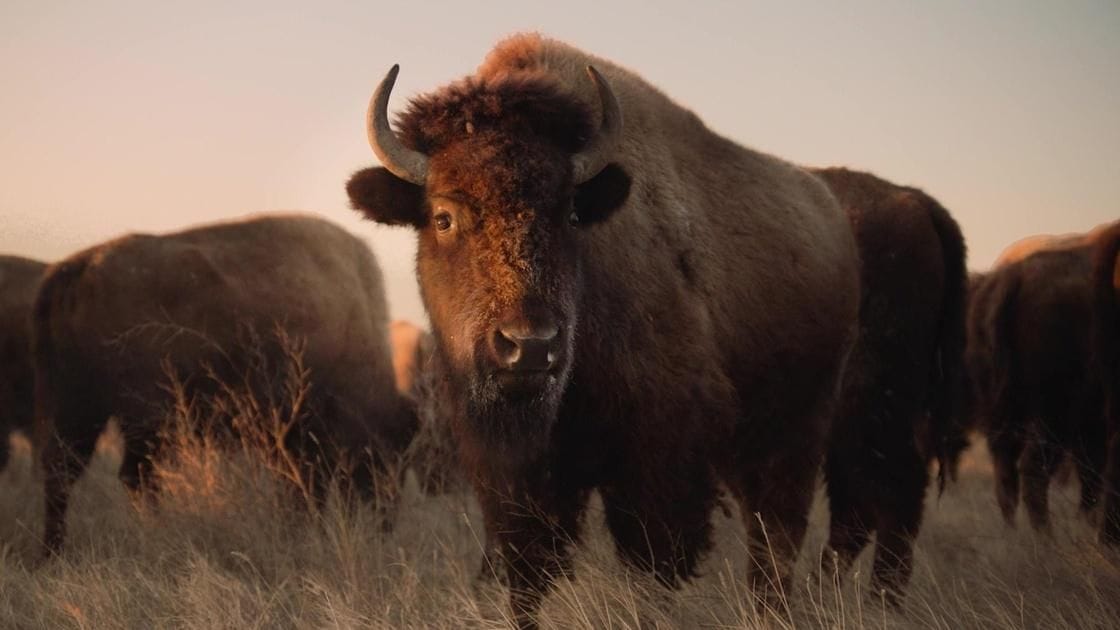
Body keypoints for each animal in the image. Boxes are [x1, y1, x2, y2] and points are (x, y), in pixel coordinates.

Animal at [33, 214, 417, 553]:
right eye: (388, 452)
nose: (387, 521)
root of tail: (79, 267)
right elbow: (308, 489)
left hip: (79, 407)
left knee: (62, 471)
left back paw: (54, 554)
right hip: (143, 415)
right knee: (135, 475)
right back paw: (156, 535)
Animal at [346, 33, 860, 628]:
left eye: (571, 214)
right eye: (443, 217)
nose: (530, 347)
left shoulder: (658, 463)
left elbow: (652, 567)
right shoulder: (515, 477)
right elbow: (527, 573)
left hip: (795, 431)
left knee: (776, 536)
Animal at [964, 220, 1120, 543]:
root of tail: (1011, 277)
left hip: (1010, 416)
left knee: (1008, 473)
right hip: (1056, 413)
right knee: (1036, 470)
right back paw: (1049, 539)